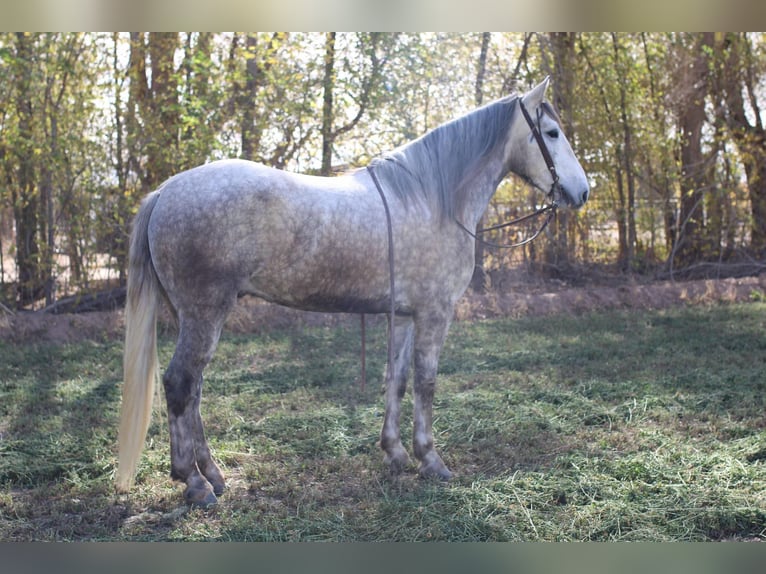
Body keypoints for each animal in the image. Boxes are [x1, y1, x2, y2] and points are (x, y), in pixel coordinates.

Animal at [116, 77, 589, 506]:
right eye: (551, 133)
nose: (583, 191)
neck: (433, 200)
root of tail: (165, 192)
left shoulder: (405, 315)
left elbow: (397, 379)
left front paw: (395, 453)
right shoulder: (435, 312)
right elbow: (426, 382)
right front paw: (430, 459)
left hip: (196, 317)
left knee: (193, 389)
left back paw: (213, 474)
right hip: (204, 313)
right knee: (180, 384)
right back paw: (194, 483)